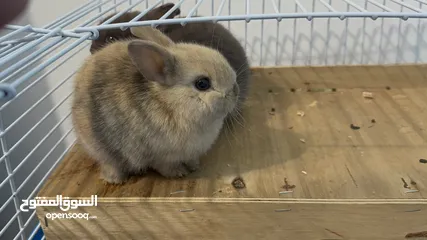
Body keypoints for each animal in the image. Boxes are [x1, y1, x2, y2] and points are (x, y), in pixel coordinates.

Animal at [73, 25, 241, 184]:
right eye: (202, 84)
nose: (235, 90)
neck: (170, 104)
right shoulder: (161, 156)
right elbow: (165, 167)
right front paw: (179, 173)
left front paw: (194, 166)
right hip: (102, 150)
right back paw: (116, 180)